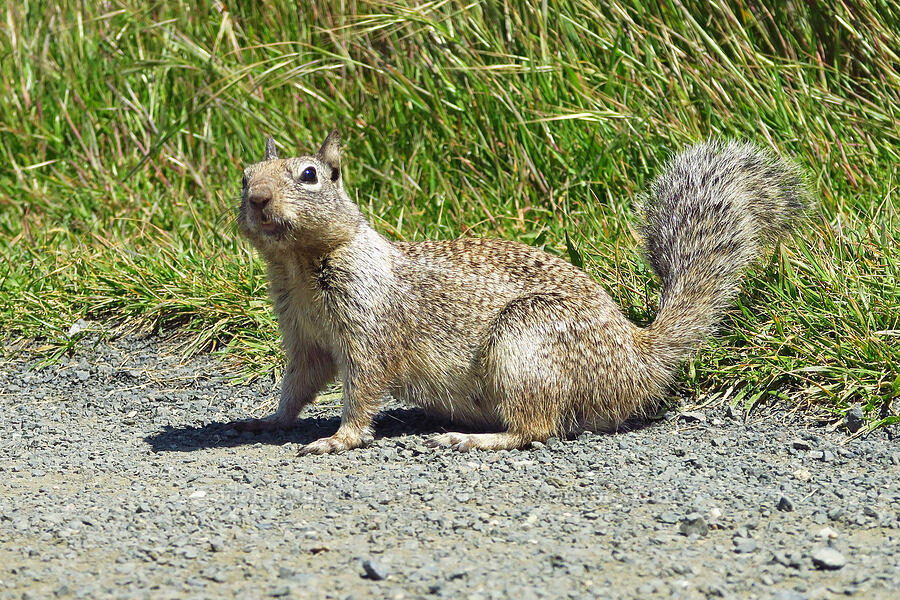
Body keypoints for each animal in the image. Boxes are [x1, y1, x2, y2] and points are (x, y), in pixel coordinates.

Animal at [232, 129, 808, 452]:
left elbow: (364, 387)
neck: (299, 266)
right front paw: (269, 421)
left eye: (309, 175)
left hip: (523, 347)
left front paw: (336, 440)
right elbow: (299, 383)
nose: (258, 199)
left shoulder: (366, 328)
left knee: (537, 428)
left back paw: (470, 438)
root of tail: (639, 358)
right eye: (244, 175)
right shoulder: (304, 337)